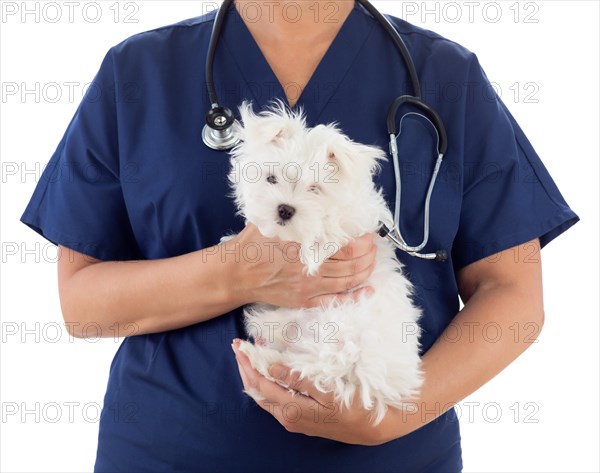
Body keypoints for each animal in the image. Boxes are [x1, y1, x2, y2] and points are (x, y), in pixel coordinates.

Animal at [229, 99, 422, 424]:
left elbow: (324, 235)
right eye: (271, 178)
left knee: (297, 373)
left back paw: (256, 352)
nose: (285, 209)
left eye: (314, 189)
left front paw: (311, 250)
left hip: (336, 343)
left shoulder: (348, 226)